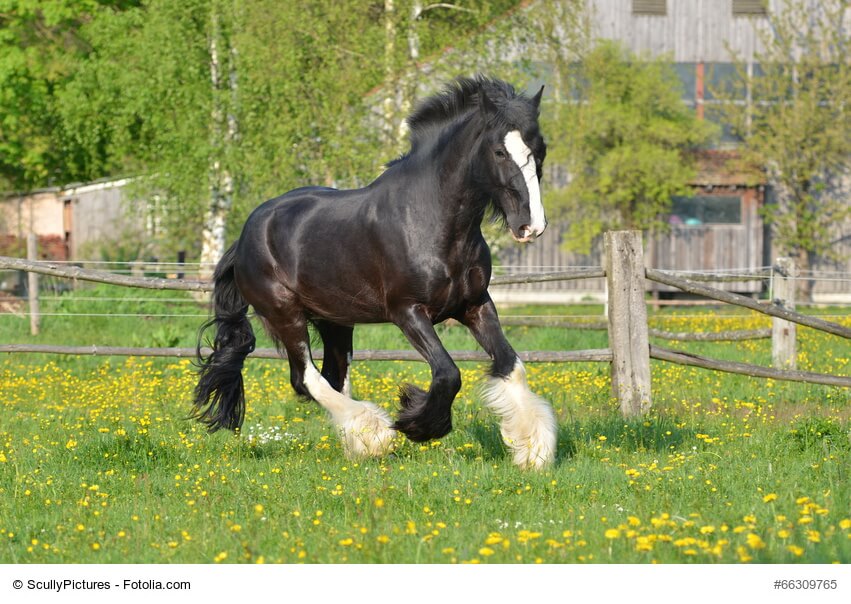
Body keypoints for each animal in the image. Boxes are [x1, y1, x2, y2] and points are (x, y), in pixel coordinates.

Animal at [191, 75, 557, 468]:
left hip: (335, 321)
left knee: (333, 377)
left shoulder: (474, 305)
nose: (531, 226)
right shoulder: (407, 311)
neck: (430, 219)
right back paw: (375, 435)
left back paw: (358, 443)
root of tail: (245, 236)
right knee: (306, 378)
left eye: (540, 149)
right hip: (285, 315)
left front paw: (532, 449)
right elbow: (448, 374)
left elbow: (510, 364)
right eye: (500, 152)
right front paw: (417, 423)